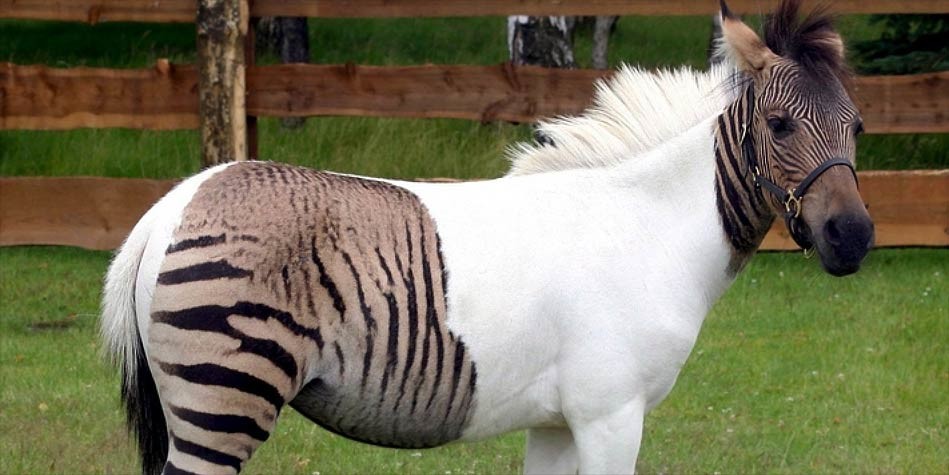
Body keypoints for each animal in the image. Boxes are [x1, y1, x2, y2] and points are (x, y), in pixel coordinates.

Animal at [101, 1, 874, 473]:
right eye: (778, 125)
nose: (854, 237)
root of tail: (175, 202)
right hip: (223, 397)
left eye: (859, 126)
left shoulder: (559, 421)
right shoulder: (611, 415)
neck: (648, 230)